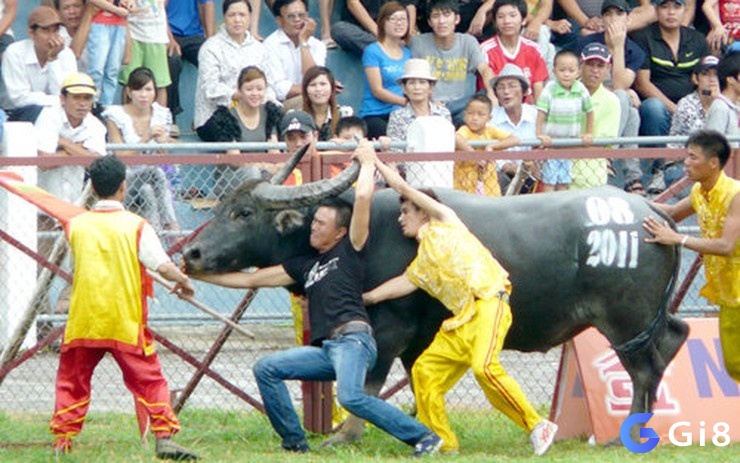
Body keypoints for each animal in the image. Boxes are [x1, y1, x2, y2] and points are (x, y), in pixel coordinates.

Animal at [184, 150, 688, 446]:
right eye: (221, 206)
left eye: (243, 212)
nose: (192, 253)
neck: (365, 233)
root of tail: (651, 211)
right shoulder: (417, 339)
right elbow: (417, 381)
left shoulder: (390, 329)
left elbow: (367, 385)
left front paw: (346, 435)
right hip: (650, 319)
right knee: (673, 340)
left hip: (625, 320)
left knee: (644, 369)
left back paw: (628, 435)